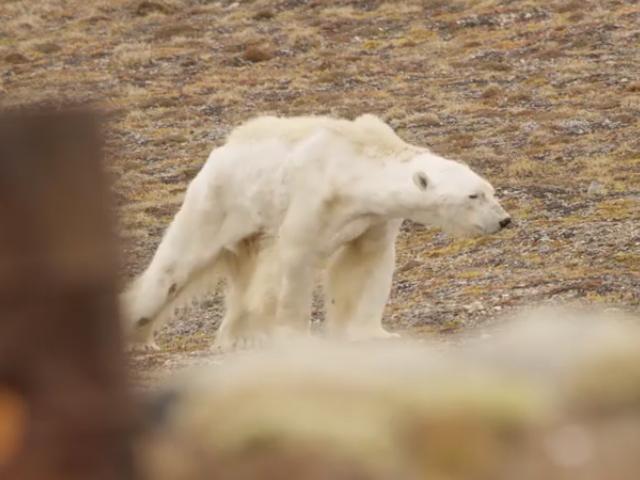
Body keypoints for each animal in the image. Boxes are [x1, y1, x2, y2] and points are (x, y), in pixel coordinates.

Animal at [120, 114, 510, 350]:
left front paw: (374, 334)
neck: (352, 167)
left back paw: (238, 338)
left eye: (490, 190)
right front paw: (297, 338)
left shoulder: (374, 218)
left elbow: (367, 264)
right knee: (175, 267)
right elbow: (295, 262)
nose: (504, 220)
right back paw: (140, 333)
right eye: (473, 196)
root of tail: (219, 153)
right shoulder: (311, 199)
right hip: (216, 204)